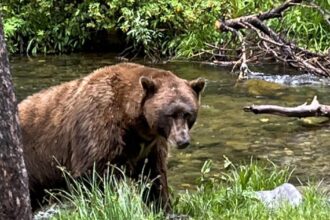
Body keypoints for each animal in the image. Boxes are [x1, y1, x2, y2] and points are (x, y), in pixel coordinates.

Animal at [18, 62, 205, 211]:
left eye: (188, 113)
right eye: (170, 114)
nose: (182, 140)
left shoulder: (150, 146)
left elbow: (154, 176)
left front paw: (162, 207)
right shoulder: (99, 126)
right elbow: (93, 174)